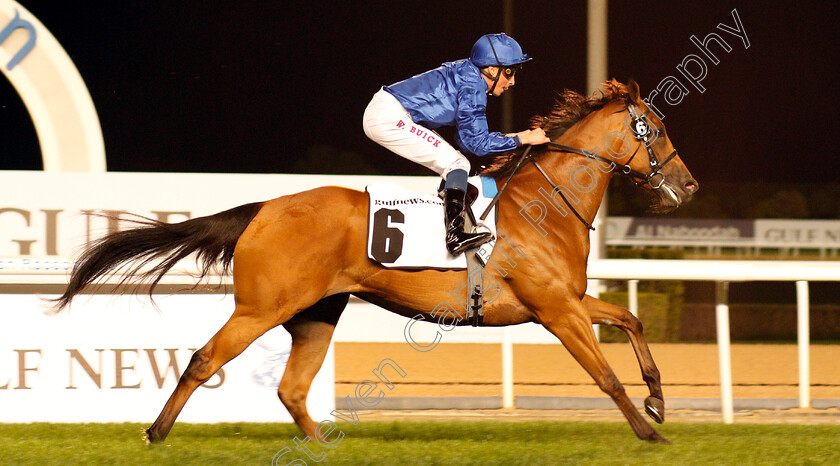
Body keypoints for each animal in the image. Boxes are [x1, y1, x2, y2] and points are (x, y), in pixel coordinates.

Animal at [54, 80, 696, 444]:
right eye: (659, 128)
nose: (688, 185)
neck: (546, 204)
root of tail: (264, 209)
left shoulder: (569, 298)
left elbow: (632, 320)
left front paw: (658, 400)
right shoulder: (556, 309)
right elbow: (604, 374)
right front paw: (647, 430)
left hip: (317, 312)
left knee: (292, 388)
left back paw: (318, 447)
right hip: (261, 307)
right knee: (204, 359)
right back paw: (156, 432)